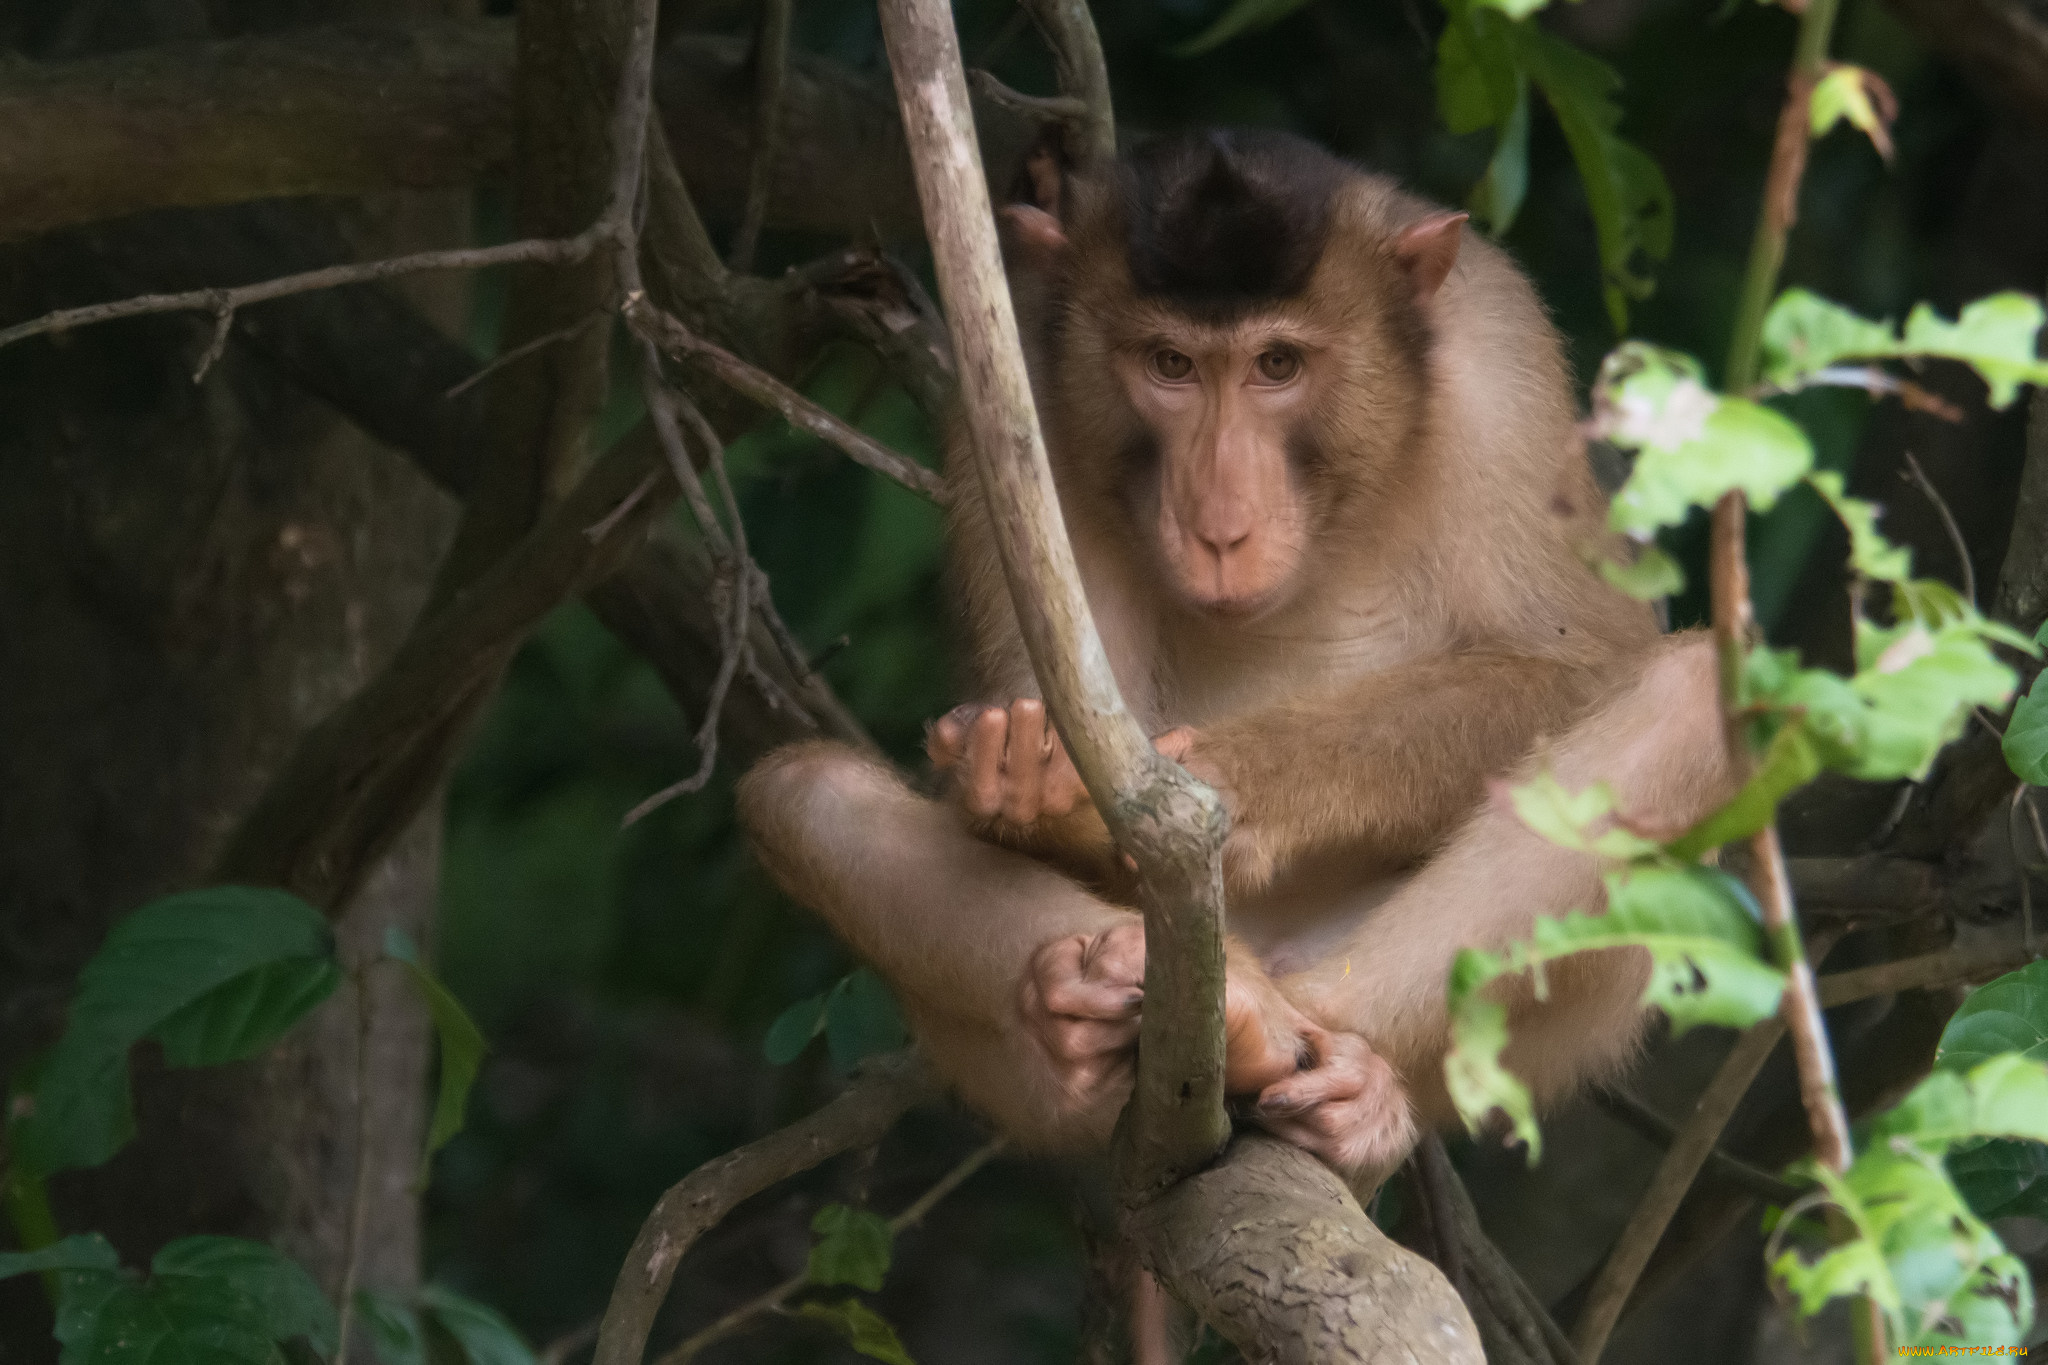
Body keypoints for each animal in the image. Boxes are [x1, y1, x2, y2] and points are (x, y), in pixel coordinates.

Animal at [729, 133, 1736, 1186]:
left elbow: (1585, 658)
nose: (1219, 524)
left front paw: (1220, 777)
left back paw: (1328, 1064)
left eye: (1277, 364)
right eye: (1170, 363)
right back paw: (1084, 1008)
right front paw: (1022, 779)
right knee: (805, 796)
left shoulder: (1502, 365)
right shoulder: (1012, 390)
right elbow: (1044, 702)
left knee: (1693, 694)